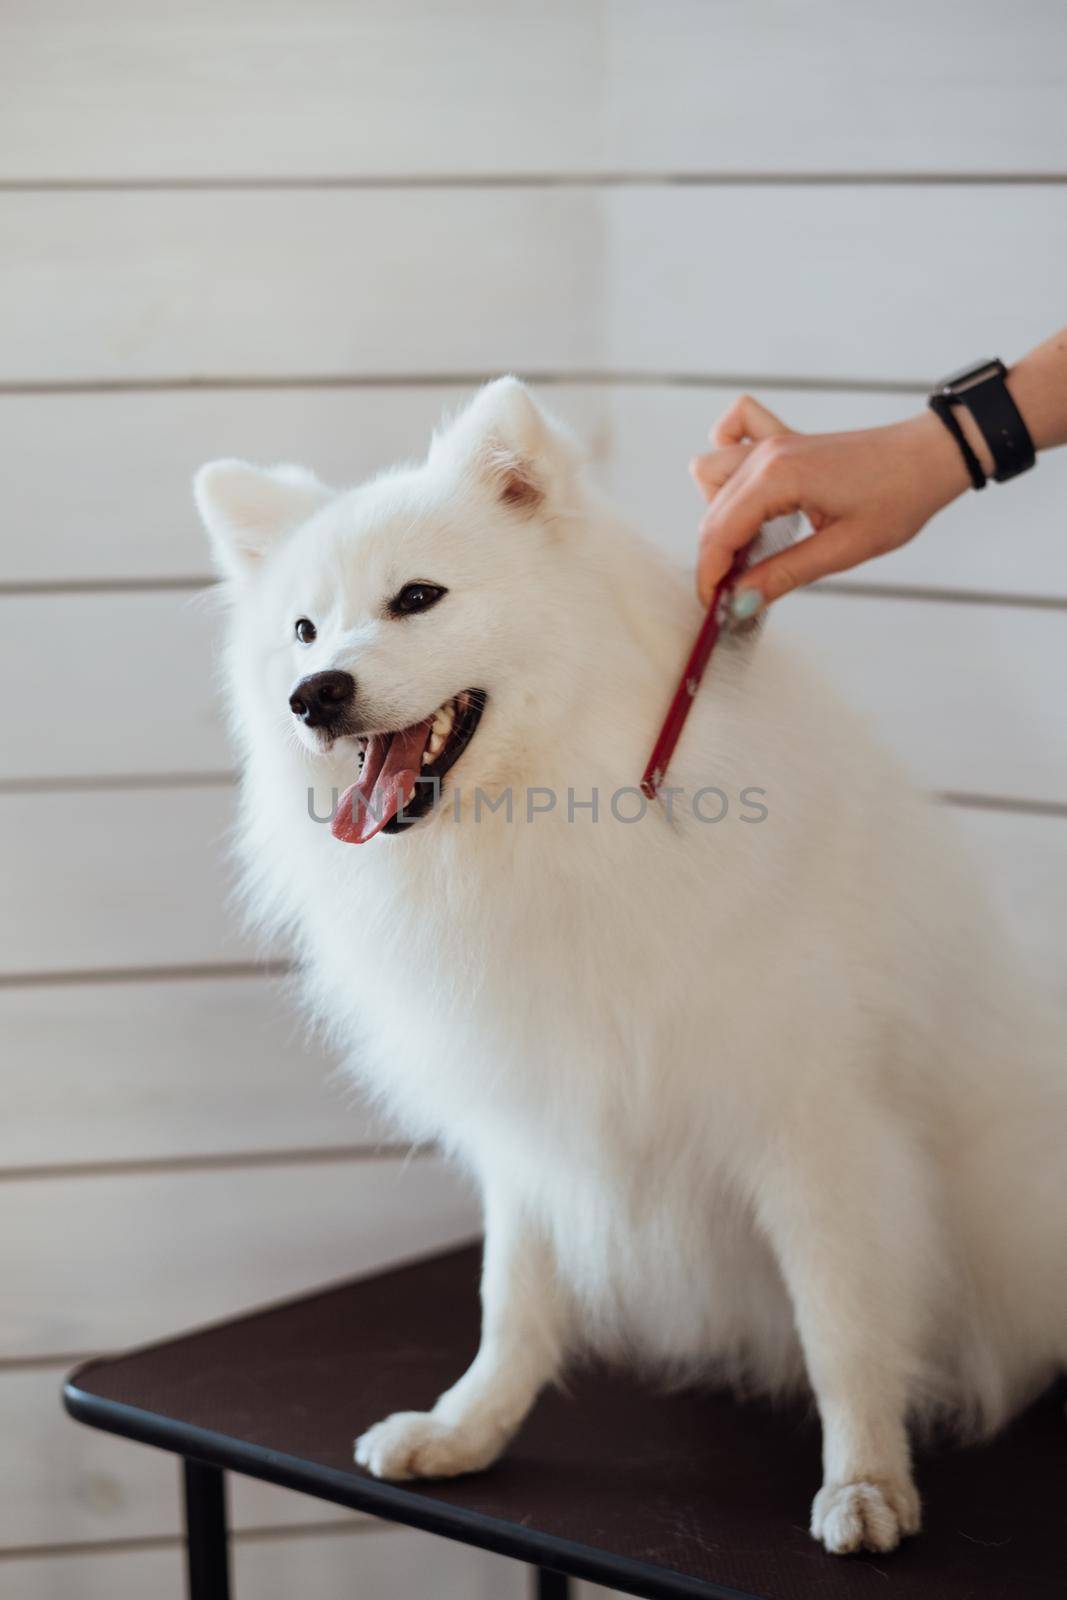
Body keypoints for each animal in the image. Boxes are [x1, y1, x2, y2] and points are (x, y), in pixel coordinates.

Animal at [195, 374, 1062, 1548]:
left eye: (418, 597)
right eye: (302, 629)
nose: (315, 692)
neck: (556, 818)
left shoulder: (818, 1127)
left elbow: (842, 1323)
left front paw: (864, 1486)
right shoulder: (536, 1113)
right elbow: (510, 1301)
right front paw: (467, 1428)